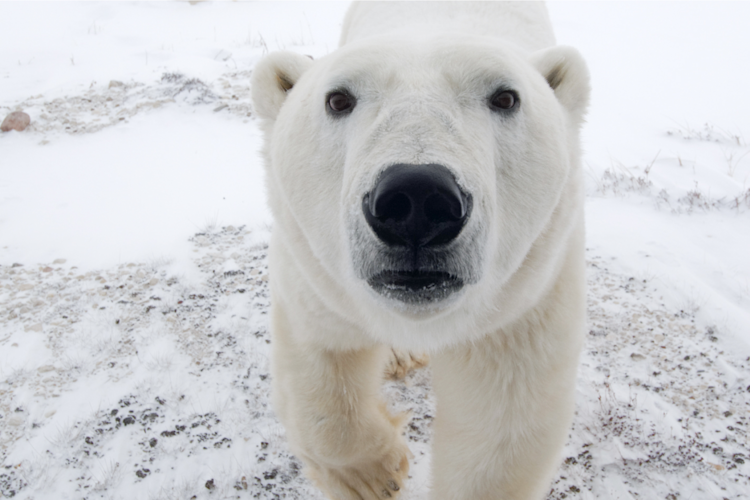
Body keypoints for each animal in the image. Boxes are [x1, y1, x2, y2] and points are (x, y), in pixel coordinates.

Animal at [250, 2, 590, 499]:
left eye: (506, 97)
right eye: (338, 99)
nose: (416, 201)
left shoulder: (526, 300)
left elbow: (500, 428)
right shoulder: (313, 274)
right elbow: (321, 364)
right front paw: (374, 474)